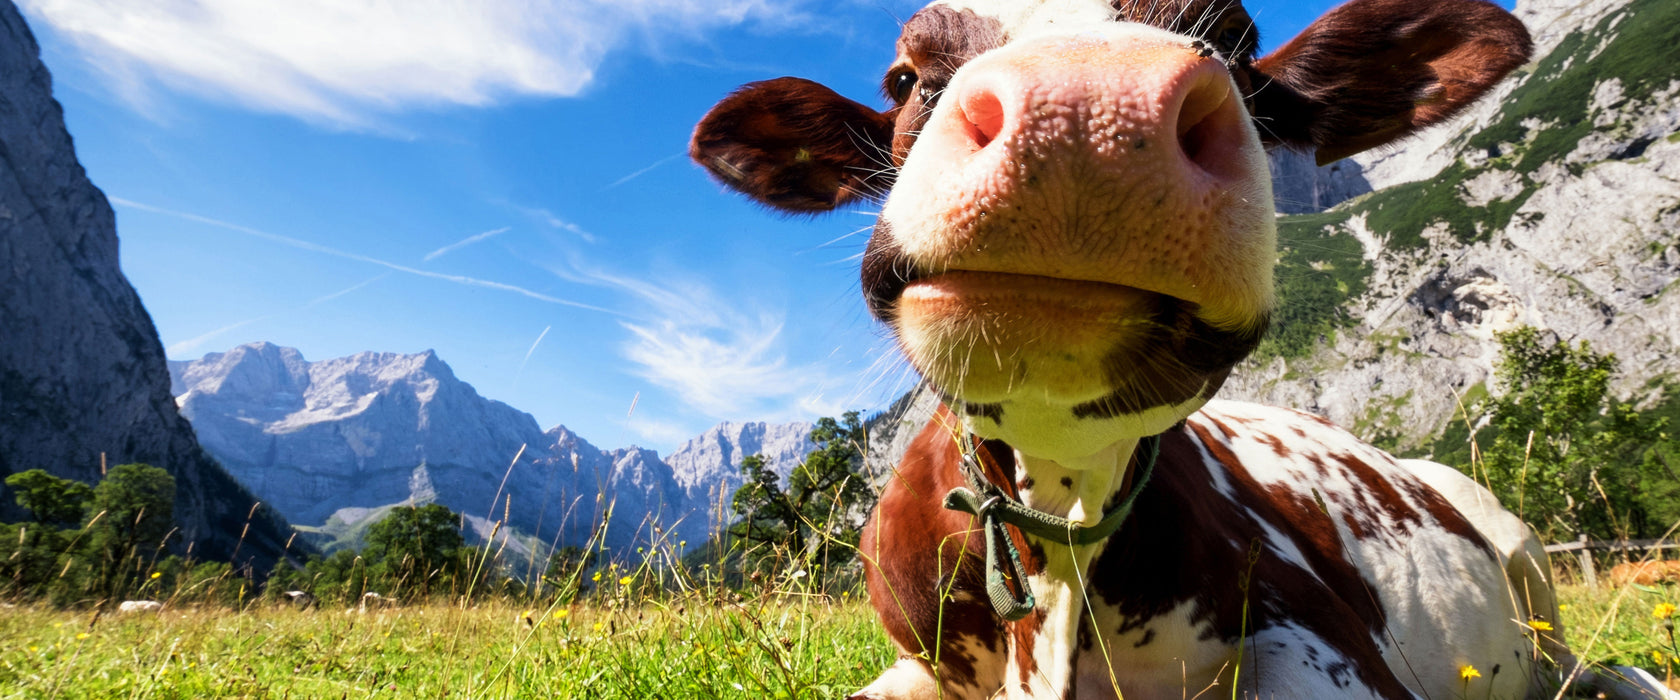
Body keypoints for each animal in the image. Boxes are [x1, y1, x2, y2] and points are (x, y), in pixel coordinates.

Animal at [692, 1, 1666, 698]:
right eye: (903, 77)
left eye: (1235, 40)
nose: (1086, 109)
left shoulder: (1332, 642)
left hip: (1527, 562)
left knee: (1594, 670)